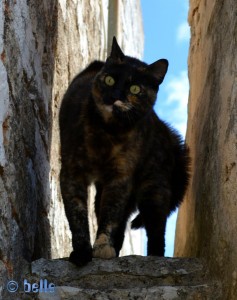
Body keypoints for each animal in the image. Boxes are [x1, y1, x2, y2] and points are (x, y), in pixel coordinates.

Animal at [59, 37, 191, 264]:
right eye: (110, 80)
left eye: (135, 89)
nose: (115, 96)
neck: (107, 131)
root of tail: (164, 129)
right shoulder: (72, 172)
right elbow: (77, 215)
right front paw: (83, 252)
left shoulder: (119, 177)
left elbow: (110, 217)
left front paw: (102, 247)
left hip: (153, 189)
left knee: (156, 230)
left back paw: (155, 257)